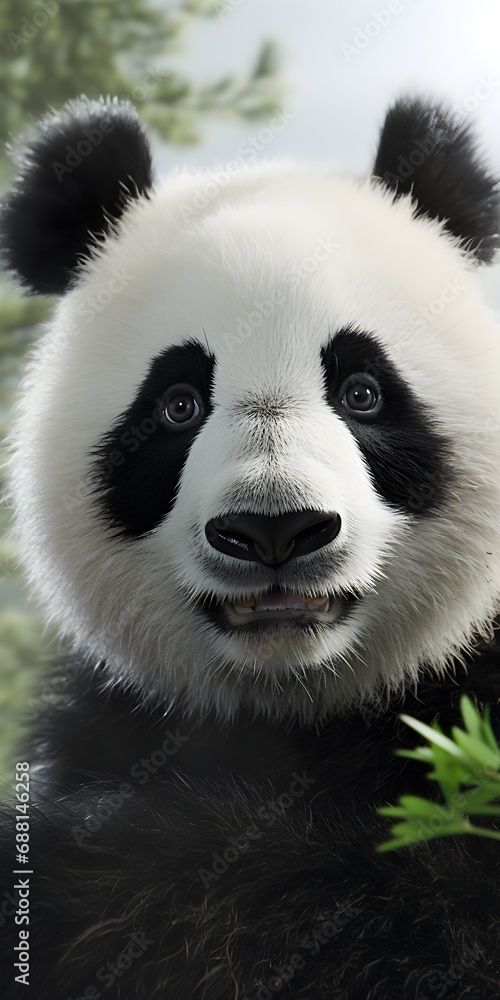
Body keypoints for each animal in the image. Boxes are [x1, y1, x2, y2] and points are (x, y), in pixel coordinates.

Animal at [0, 93, 500, 999]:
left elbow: (410, 912)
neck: (296, 705)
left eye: (363, 391)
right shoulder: (114, 727)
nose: (276, 529)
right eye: (177, 404)